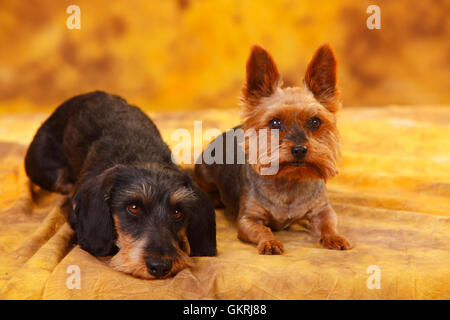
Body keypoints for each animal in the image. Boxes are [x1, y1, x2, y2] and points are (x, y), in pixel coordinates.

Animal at [194, 44, 352, 255]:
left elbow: (329, 223)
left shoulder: (322, 209)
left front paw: (334, 237)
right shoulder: (248, 219)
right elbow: (263, 229)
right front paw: (270, 242)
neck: (289, 181)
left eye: (315, 122)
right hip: (204, 172)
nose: (300, 149)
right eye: (275, 123)